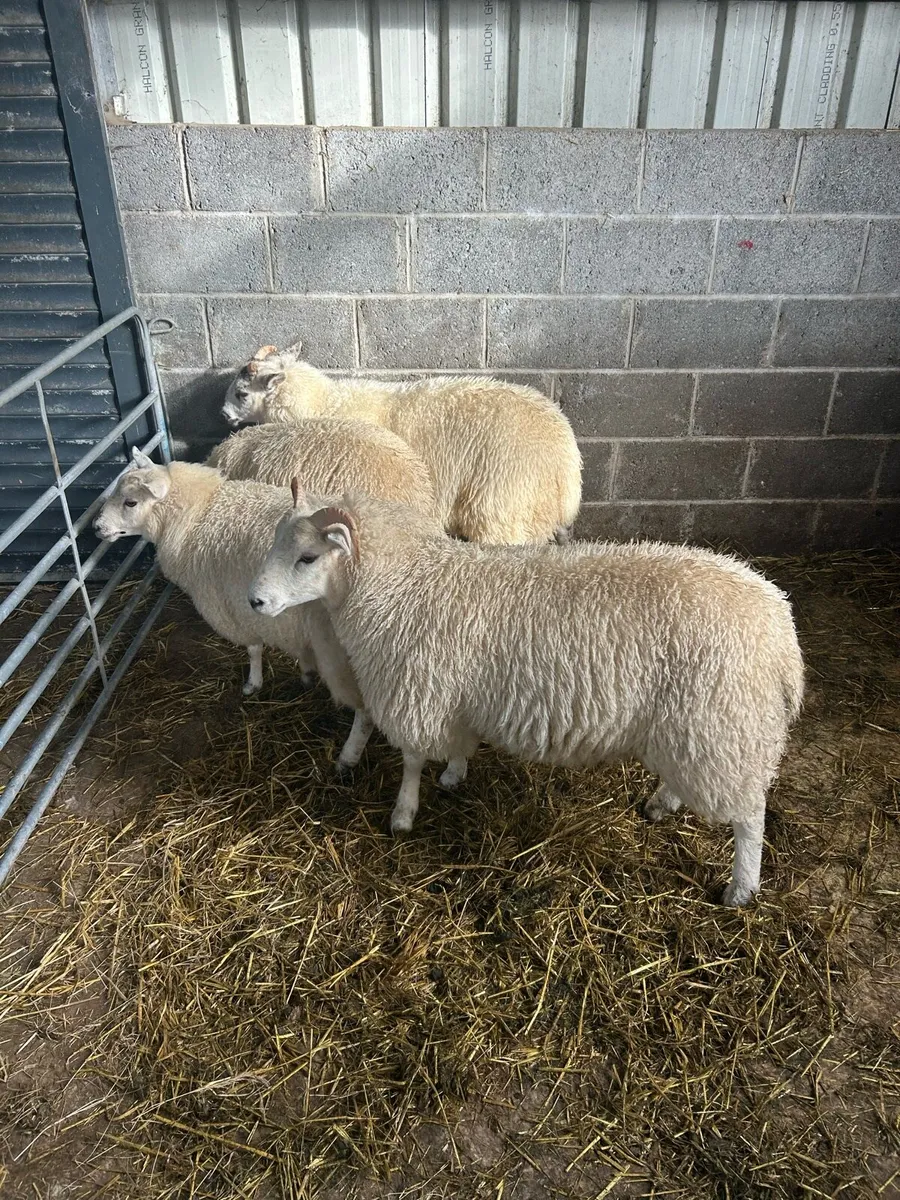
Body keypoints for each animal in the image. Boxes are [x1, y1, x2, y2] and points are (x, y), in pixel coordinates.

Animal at [249, 491, 805, 906]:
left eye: (308, 557)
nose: (255, 601)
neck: (403, 583)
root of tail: (782, 630)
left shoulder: (419, 689)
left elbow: (410, 760)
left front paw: (403, 815)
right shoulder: (454, 695)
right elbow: (457, 745)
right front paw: (454, 774)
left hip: (722, 720)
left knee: (750, 814)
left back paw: (741, 888)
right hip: (696, 725)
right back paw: (661, 804)